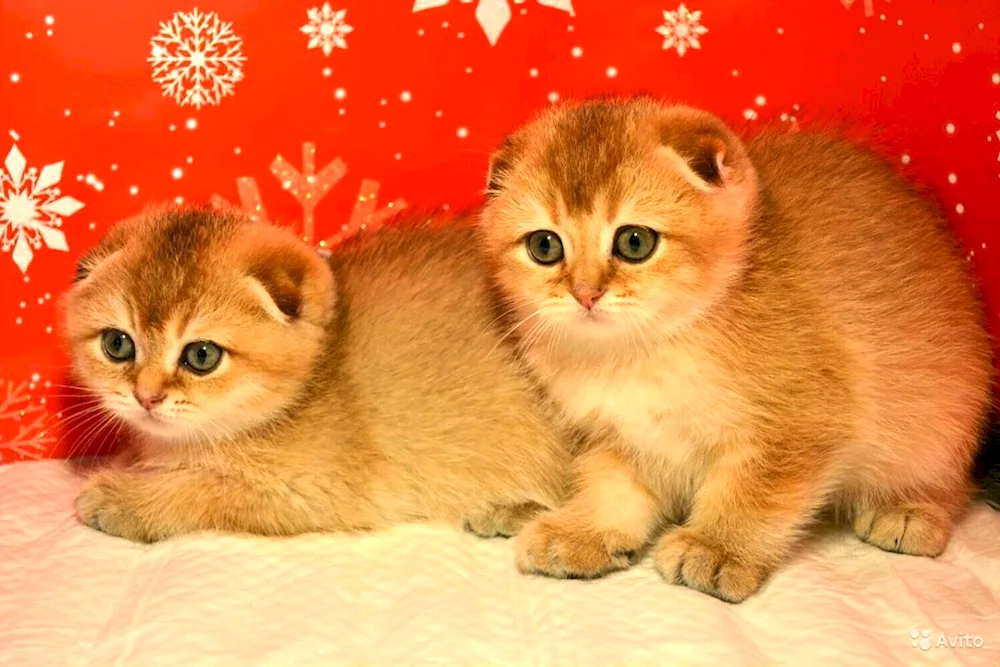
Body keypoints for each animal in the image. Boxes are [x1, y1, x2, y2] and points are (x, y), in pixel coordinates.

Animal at [64, 207, 572, 544]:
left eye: (201, 356)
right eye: (117, 345)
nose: (146, 396)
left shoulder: (313, 493)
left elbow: (203, 490)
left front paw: (121, 499)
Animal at [480, 100, 996, 604]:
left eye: (634, 241)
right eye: (545, 246)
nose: (585, 294)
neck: (642, 352)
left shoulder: (801, 422)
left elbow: (753, 493)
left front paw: (717, 547)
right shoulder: (617, 437)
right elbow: (612, 487)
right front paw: (585, 531)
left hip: (940, 420)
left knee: (955, 481)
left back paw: (909, 509)